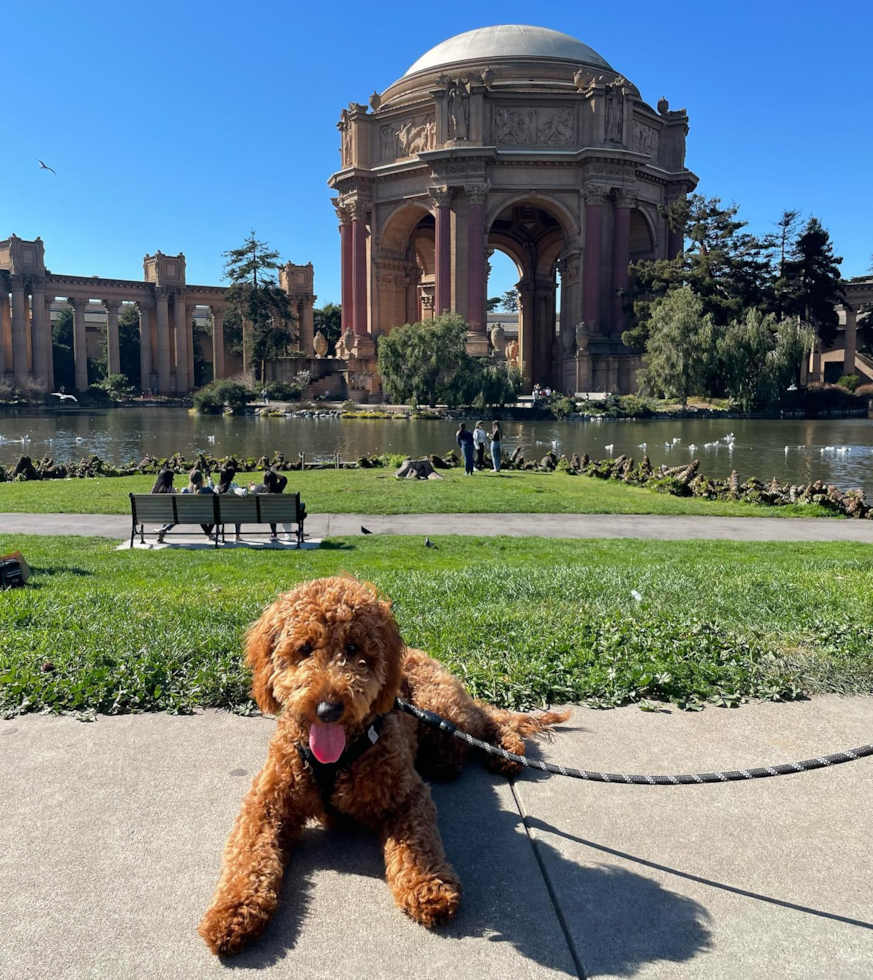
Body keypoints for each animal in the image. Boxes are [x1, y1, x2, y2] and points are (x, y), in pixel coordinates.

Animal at [197, 576, 564, 956]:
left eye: (353, 647)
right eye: (304, 648)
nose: (329, 709)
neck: (339, 757)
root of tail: (415, 652)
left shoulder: (407, 795)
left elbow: (417, 844)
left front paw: (427, 886)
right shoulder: (265, 804)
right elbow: (247, 855)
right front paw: (232, 911)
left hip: (441, 706)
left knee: (486, 717)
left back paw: (505, 750)